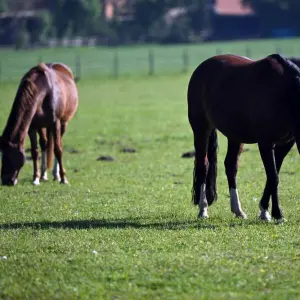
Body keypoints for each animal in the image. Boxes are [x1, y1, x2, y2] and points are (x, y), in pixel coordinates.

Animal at [189, 53, 300, 223]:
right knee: (203, 165)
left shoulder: (285, 144)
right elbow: (273, 177)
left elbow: (272, 176)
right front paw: (277, 214)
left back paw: (238, 210)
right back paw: (203, 209)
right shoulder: (266, 143)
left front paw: (264, 211)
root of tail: (202, 67)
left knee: (230, 166)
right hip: (201, 128)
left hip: (234, 135)